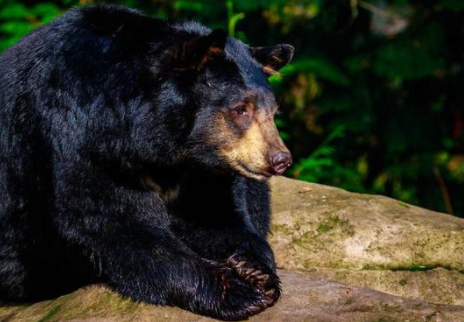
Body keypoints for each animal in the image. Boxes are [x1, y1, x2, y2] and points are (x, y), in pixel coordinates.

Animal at [0, 4, 294, 320]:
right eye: (240, 109)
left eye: (272, 111)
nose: (280, 159)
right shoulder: (78, 137)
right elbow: (117, 225)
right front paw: (238, 292)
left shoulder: (199, 169)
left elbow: (213, 214)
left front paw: (256, 270)